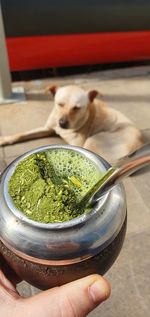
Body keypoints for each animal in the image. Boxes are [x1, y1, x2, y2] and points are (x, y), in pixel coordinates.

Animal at [0, 84, 144, 163]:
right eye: (59, 104)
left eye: (76, 108)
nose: (62, 123)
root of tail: (141, 141)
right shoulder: (47, 128)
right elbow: (21, 134)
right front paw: (4, 139)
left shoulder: (78, 144)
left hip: (93, 140)